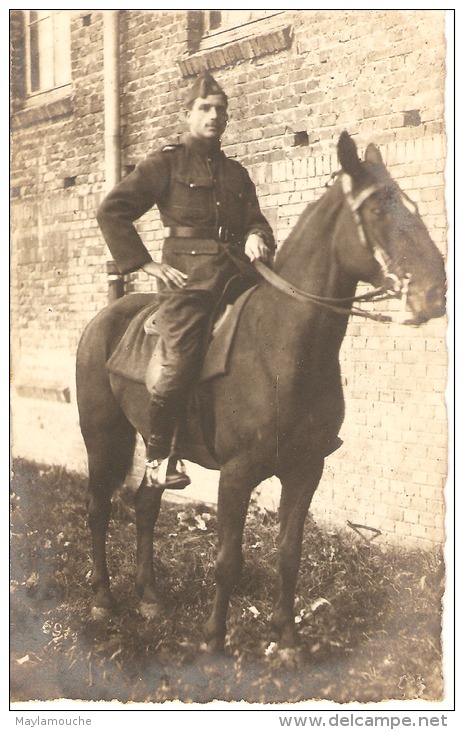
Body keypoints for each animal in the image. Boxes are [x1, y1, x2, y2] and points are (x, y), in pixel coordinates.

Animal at [76, 134, 446, 652]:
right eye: (377, 211)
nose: (435, 292)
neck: (283, 345)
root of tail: (103, 319)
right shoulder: (236, 477)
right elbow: (228, 561)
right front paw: (213, 639)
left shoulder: (306, 470)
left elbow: (289, 554)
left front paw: (287, 638)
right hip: (102, 437)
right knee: (99, 509)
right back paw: (103, 597)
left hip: (154, 447)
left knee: (146, 507)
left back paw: (150, 597)